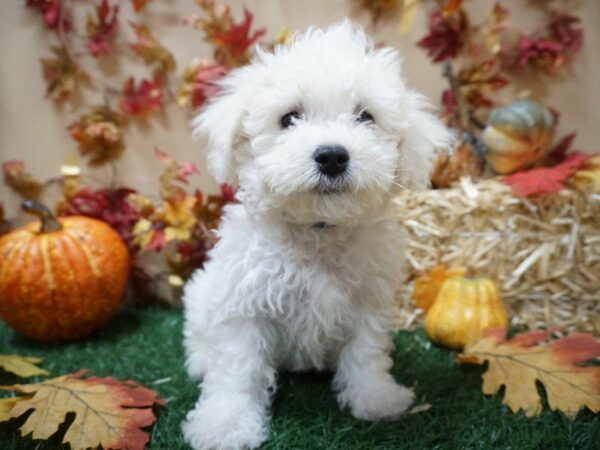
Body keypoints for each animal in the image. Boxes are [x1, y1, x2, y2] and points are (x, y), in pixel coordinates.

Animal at [182, 20, 450, 450]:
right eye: (289, 118)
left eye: (365, 116)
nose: (332, 156)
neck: (318, 232)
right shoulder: (244, 305)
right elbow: (237, 369)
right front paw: (225, 425)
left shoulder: (368, 302)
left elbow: (365, 354)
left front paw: (376, 398)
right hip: (202, 292)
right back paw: (201, 362)